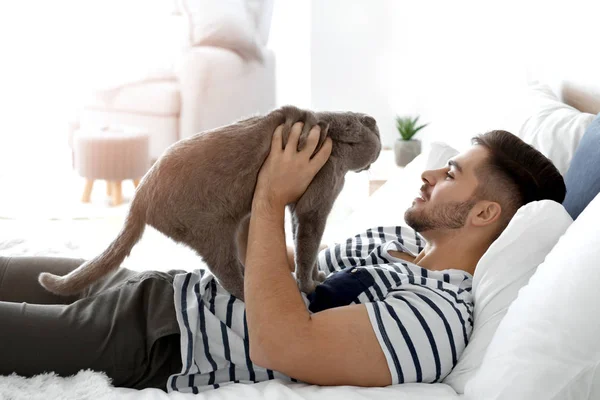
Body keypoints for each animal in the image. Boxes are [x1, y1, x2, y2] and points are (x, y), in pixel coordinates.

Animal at [39, 105, 382, 300]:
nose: (373, 162)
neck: (331, 133)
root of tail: (140, 195)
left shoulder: (299, 211)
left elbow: (302, 247)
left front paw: (314, 278)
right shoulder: (314, 207)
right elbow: (308, 249)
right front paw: (310, 284)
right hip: (211, 229)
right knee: (225, 272)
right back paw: (248, 292)